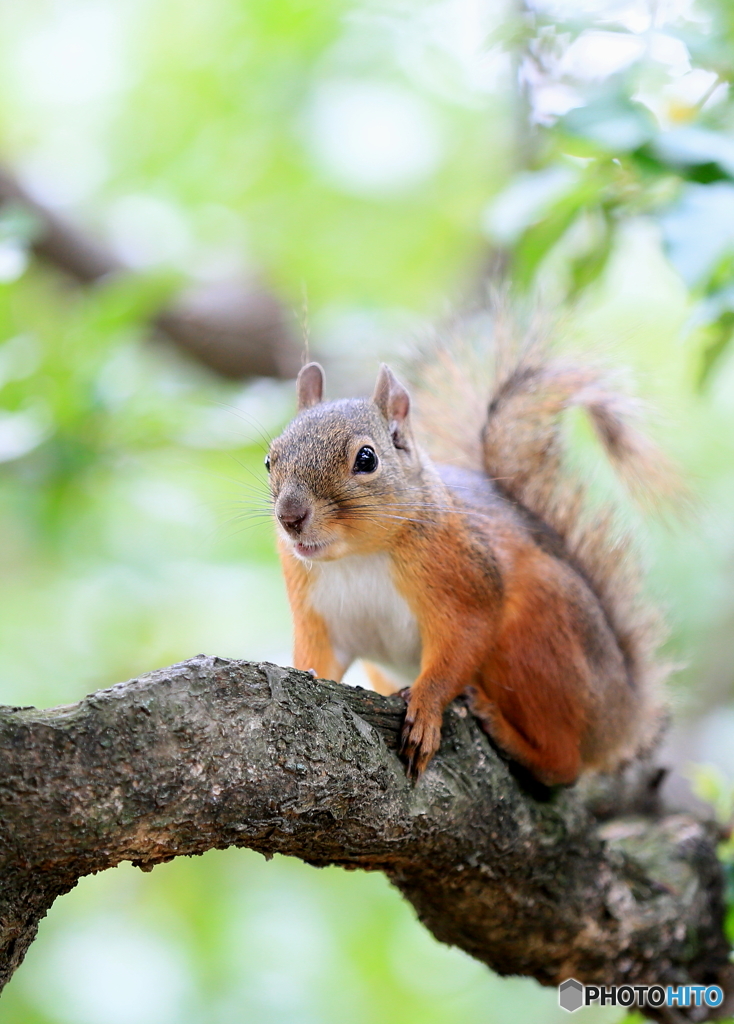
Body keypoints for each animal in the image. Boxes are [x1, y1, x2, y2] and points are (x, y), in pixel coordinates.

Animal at [264, 321, 675, 782]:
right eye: (269, 459)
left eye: (366, 459)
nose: (290, 517)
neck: (357, 556)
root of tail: (620, 716)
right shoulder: (316, 614)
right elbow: (319, 658)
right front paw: (306, 673)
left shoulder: (464, 577)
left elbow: (462, 642)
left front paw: (425, 712)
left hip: (538, 643)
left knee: (564, 765)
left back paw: (508, 733)